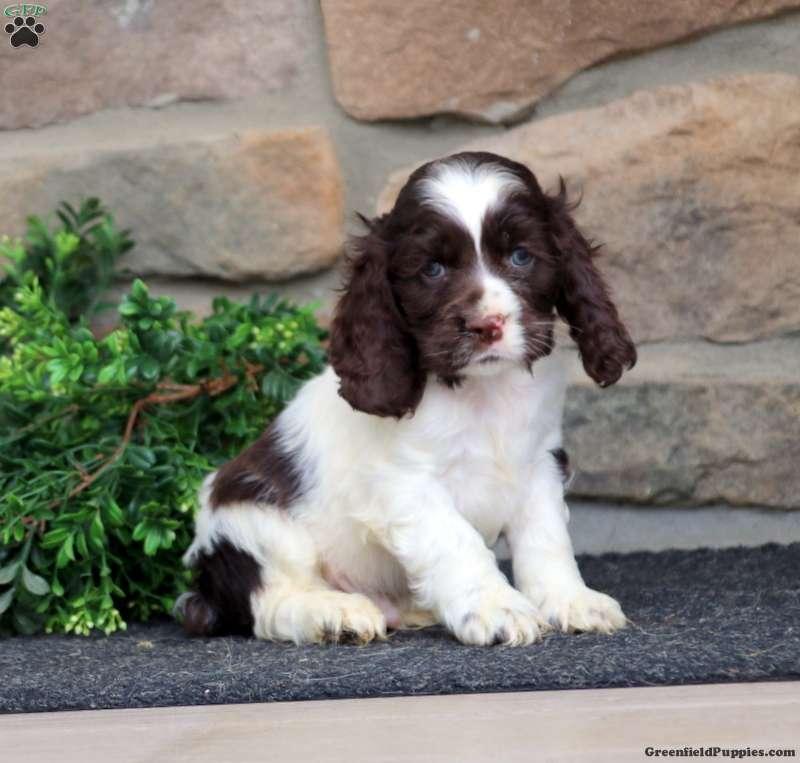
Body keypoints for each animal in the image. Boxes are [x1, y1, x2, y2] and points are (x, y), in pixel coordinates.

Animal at [179, 151, 637, 646]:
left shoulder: (539, 464)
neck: (482, 391)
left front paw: (572, 601)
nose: (487, 325)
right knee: (271, 603)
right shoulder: (406, 483)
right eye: (432, 269)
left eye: (521, 256)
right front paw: (497, 608)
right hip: (256, 521)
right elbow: (457, 542)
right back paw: (334, 613)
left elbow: (547, 539)